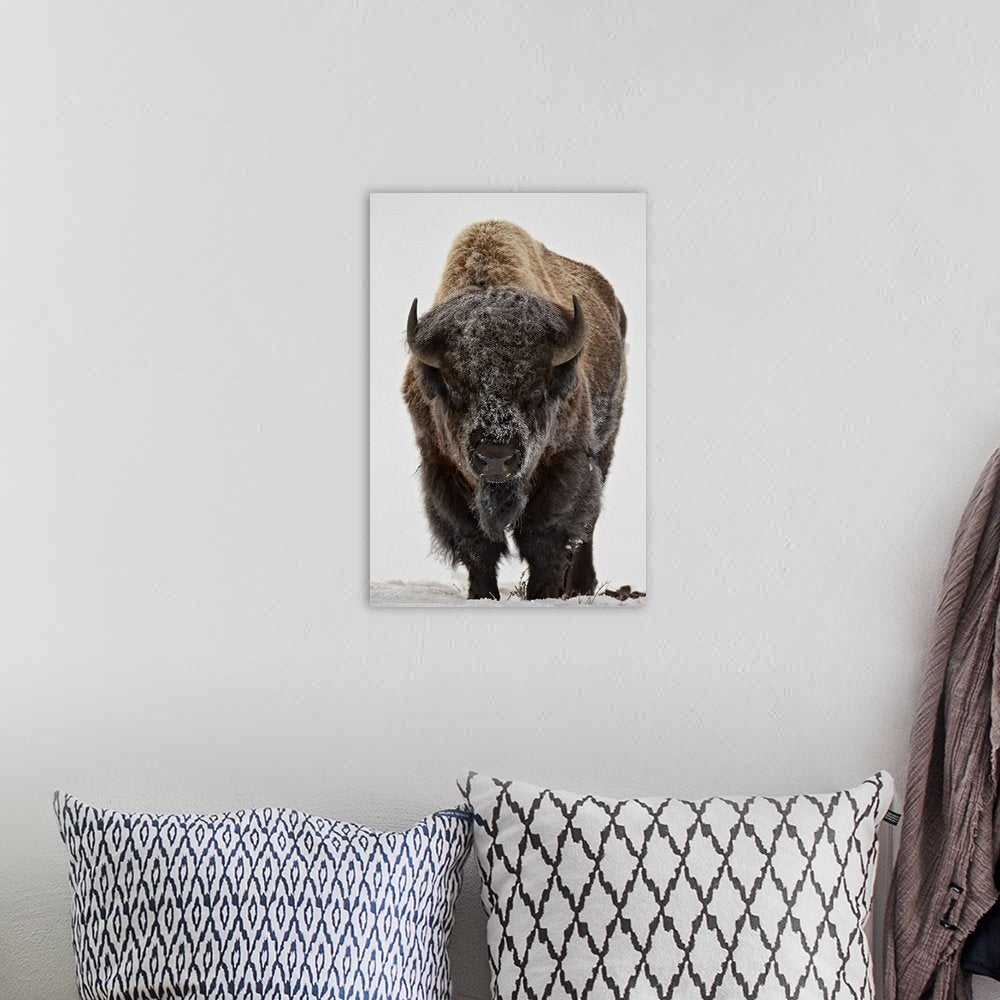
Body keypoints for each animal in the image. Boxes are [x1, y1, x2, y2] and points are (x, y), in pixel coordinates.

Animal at [402, 220, 627, 600]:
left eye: (536, 391)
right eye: (454, 390)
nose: (496, 457)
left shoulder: (565, 461)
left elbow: (546, 533)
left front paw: (543, 593)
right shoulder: (441, 466)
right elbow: (475, 541)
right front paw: (482, 594)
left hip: (605, 446)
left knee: (587, 526)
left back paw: (580, 586)